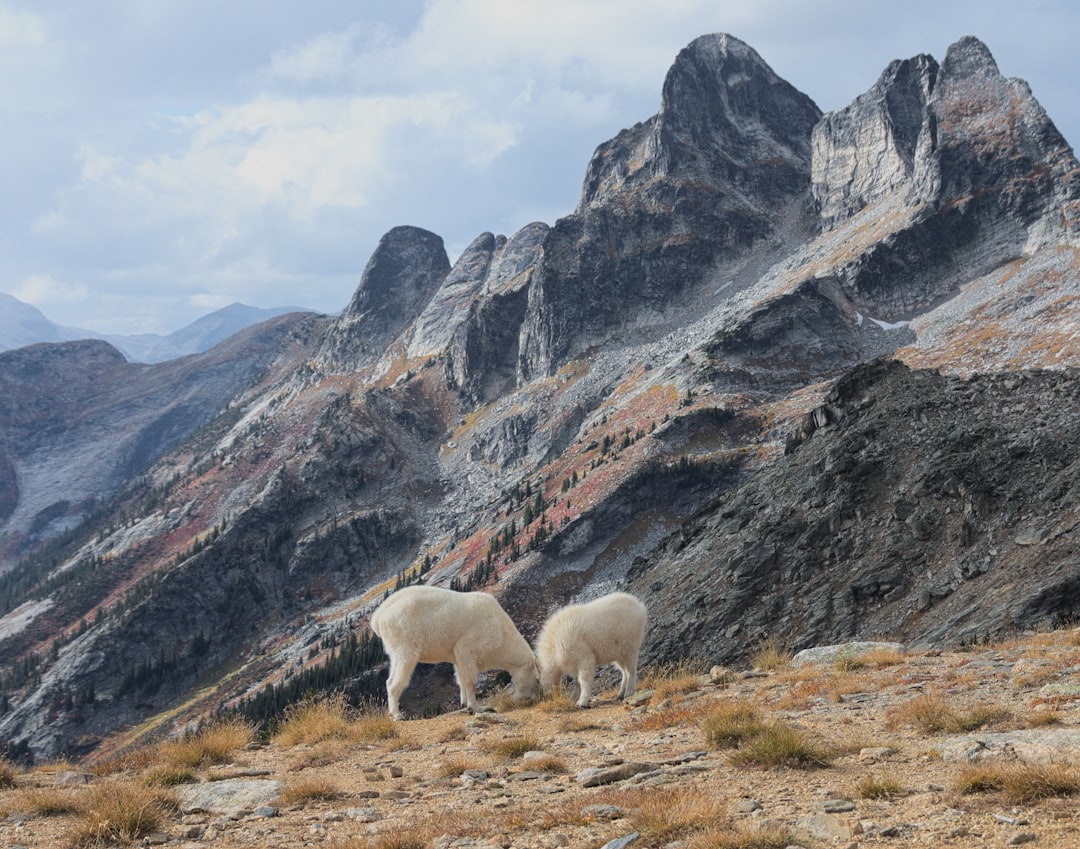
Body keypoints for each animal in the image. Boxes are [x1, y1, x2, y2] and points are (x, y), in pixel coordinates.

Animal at [369, 587, 540, 717]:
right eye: (538, 679)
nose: (532, 699)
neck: (502, 635)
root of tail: (379, 617)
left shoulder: (459, 656)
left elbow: (461, 677)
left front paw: (464, 704)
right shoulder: (471, 645)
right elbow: (469, 678)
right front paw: (478, 707)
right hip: (403, 639)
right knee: (399, 671)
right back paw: (397, 714)